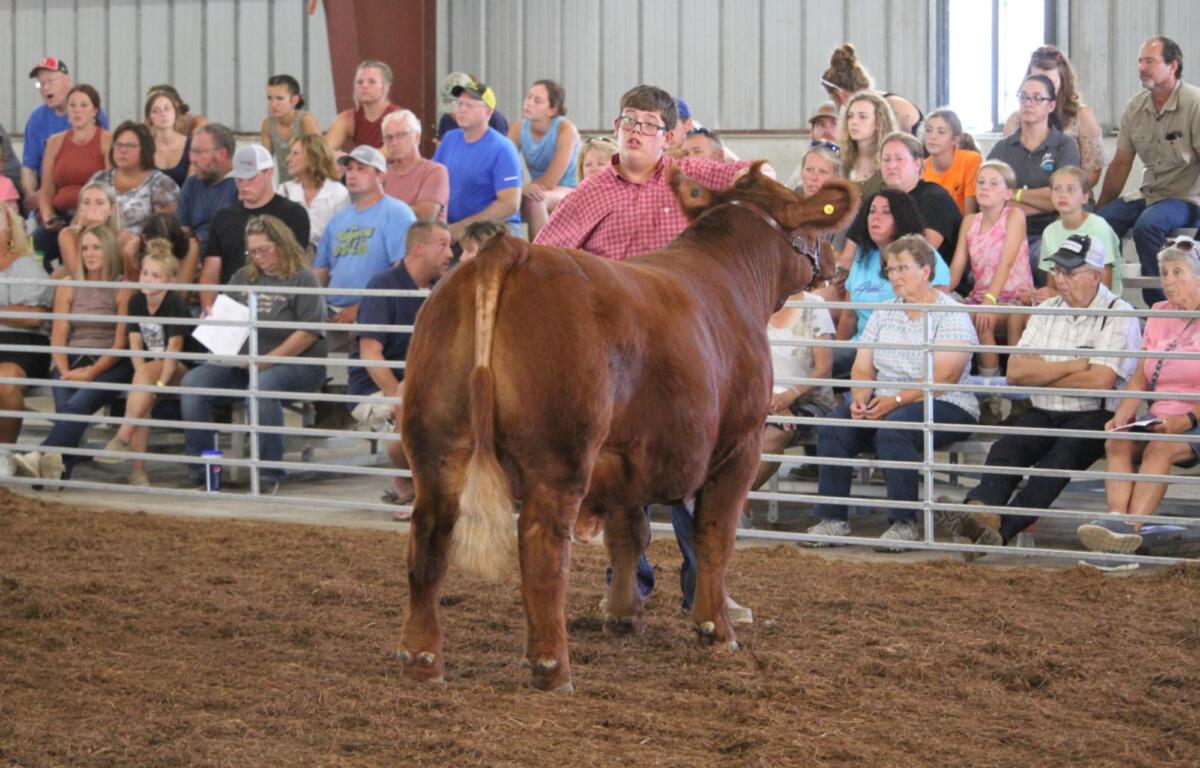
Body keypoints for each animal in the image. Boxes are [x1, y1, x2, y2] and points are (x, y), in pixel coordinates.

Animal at [398, 162, 857, 691]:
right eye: (810, 223)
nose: (834, 262)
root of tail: (511, 250)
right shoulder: (740, 445)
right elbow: (713, 535)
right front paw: (715, 629)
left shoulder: (627, 455)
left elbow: (628, 534)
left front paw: (622, 614)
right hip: (559, 454)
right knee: (541, 544)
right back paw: (552, 666)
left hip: (436, 444)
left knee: (429, 537)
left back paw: (422, 658)